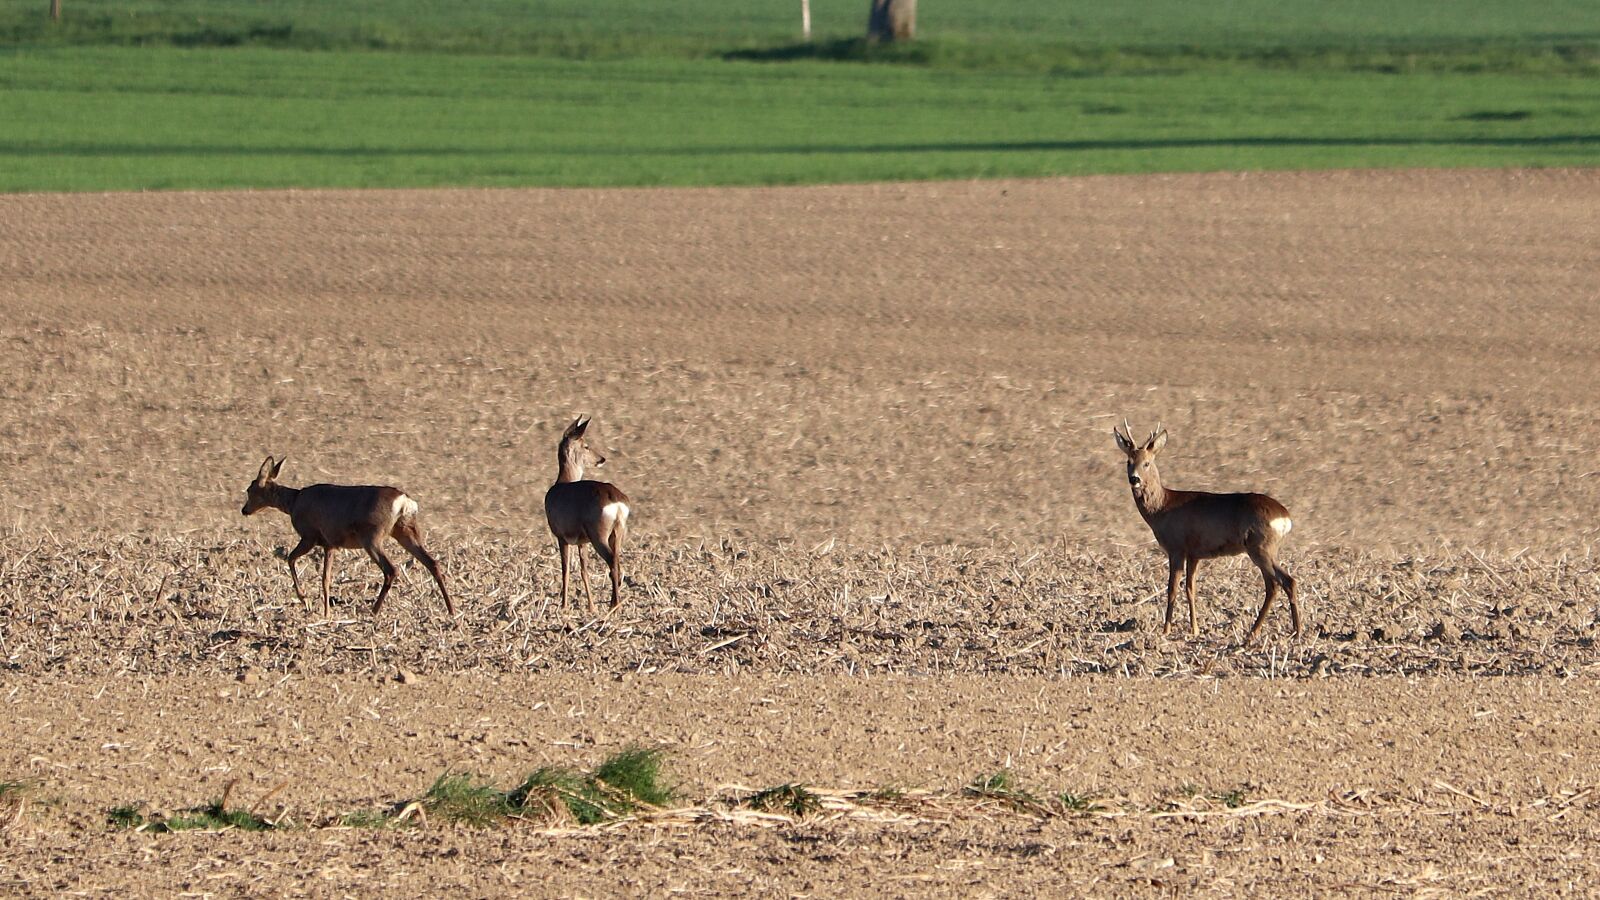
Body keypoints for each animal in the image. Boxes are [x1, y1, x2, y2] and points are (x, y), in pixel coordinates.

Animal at [243, 454, 457, 614]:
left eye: (249, 489)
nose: (244, 510)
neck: (294, 502)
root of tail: (404, 501)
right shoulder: (330, 543)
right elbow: (325, 579)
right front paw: (326, 613)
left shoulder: (310, 536)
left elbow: (290, 559)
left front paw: (305, 599)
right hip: (405, 530)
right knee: (432, 563)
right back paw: (451, 610)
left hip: (372, 536)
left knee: (391, 569)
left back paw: (373, 611)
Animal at [544, 416, 630, 608]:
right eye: (586, 446)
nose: (602, 459)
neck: (562, 482)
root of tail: (616, 501)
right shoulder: (581, 540)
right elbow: (584, 571)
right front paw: (591, 607)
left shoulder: (561, 535)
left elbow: (565, 570)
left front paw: (563, 606)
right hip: (617, 531)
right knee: (617, 560)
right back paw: (613, 602)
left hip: (598, 532)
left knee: (612, 561)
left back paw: (614, 605)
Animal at [1113, 422, 1299, 643]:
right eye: (1128, 461)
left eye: (1147, 463)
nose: (1134, 479)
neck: (1162, 508)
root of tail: (1285, 517)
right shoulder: (1194, 554)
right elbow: (1190, 588)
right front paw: (1194, 629)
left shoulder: (1176, 548)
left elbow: (1172, 588)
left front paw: (1166, 630)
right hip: (1265, 549)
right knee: (1280, 584)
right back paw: (1278, 631)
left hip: (1261, 548)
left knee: (1282, 582)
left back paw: (1278, 632)